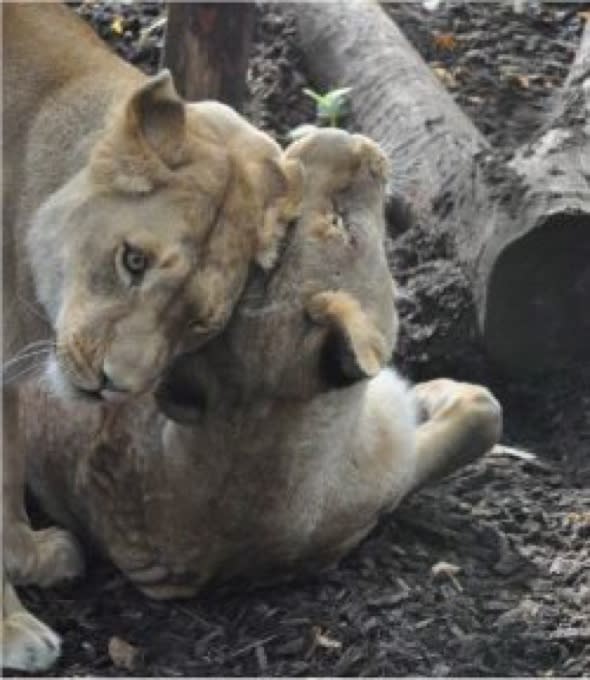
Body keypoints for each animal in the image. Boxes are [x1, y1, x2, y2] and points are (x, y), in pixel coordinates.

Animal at [2, 1, 302, 668]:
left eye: (198, 324)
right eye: (132, 261)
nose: (114, 385)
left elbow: (5, 475)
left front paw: (28, 556)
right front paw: (9, 627)